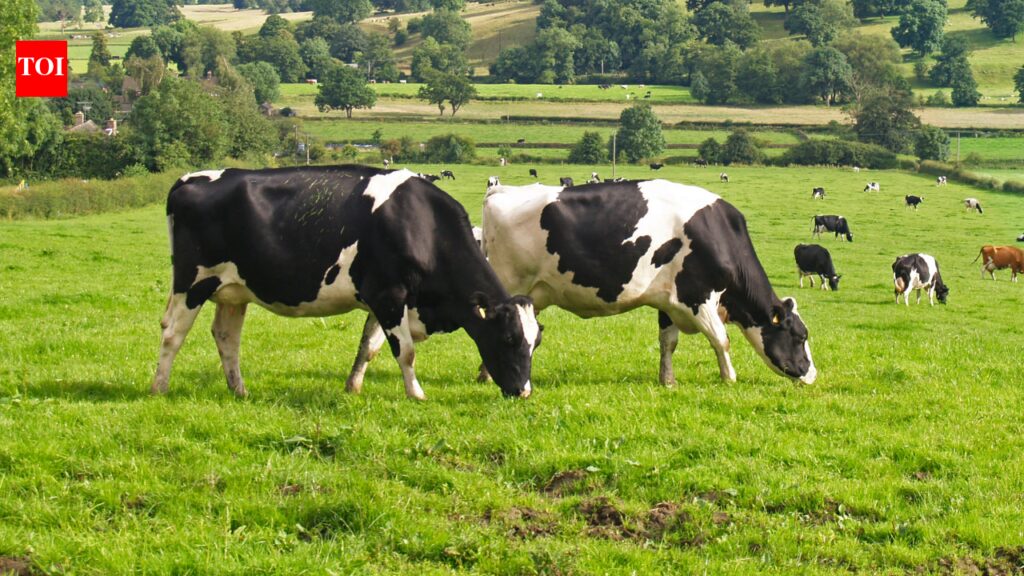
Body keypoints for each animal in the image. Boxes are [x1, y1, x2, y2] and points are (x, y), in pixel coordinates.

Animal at [153, 166, 541, 401]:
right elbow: (406, 351)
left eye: (535, 342)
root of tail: (189, 179)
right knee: (172, 333)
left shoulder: (384, 299)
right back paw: (160, 386)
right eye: (508, 338)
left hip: (233, 291)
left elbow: (368, 347)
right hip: (193, 282)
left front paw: (352, 387)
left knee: (226, 338)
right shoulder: (388, 295)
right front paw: (416, 394)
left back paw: (239, 390)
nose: (523, 391)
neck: (420, 224)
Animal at [476, 180, 817, 387]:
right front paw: (729, 377)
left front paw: (667, 380)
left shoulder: (669, 300)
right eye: (800, 336)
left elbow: (669, 342)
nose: (812, 374)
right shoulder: (699, 296)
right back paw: (489, 376)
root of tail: (501, 191)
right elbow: (721, 339)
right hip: (509, 283)